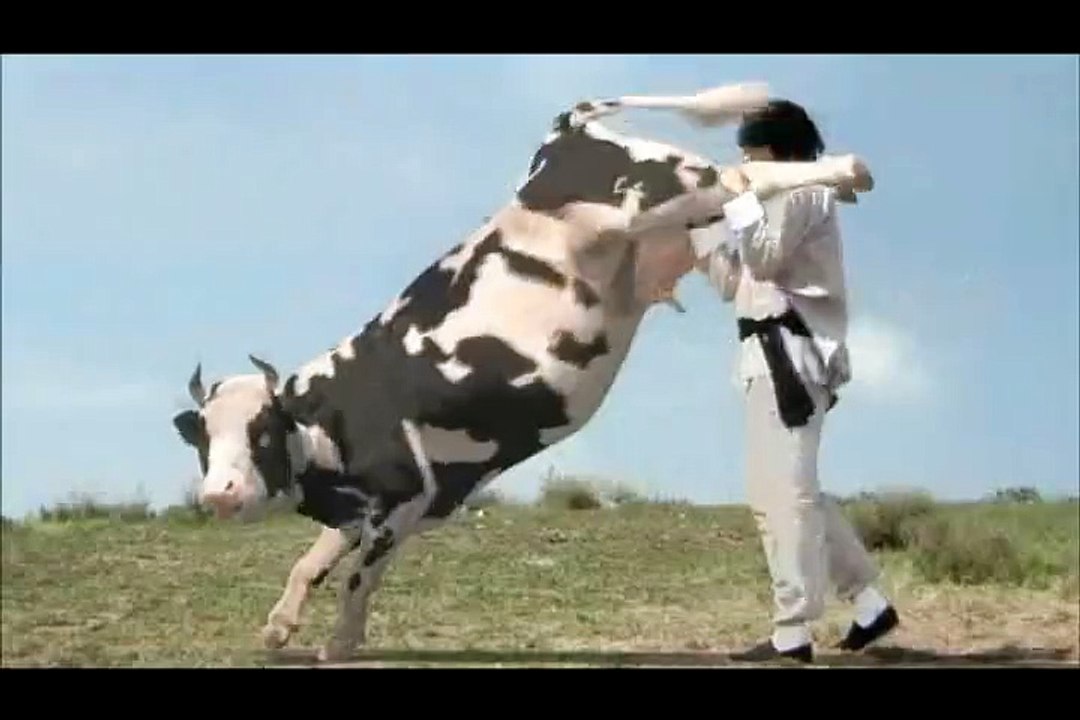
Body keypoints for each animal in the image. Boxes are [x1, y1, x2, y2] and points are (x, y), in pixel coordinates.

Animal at [171, 81, 874, 662]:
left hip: (666, 191)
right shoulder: (369, 508)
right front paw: (279, 625)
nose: (219, 494)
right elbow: (312, 562)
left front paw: (340, 643)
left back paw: (848, 171)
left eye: (263, 430)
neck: (334, 420)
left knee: (747, 172)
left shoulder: (407, 495)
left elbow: (358, 576)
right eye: (203, 438)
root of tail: (561, 133)